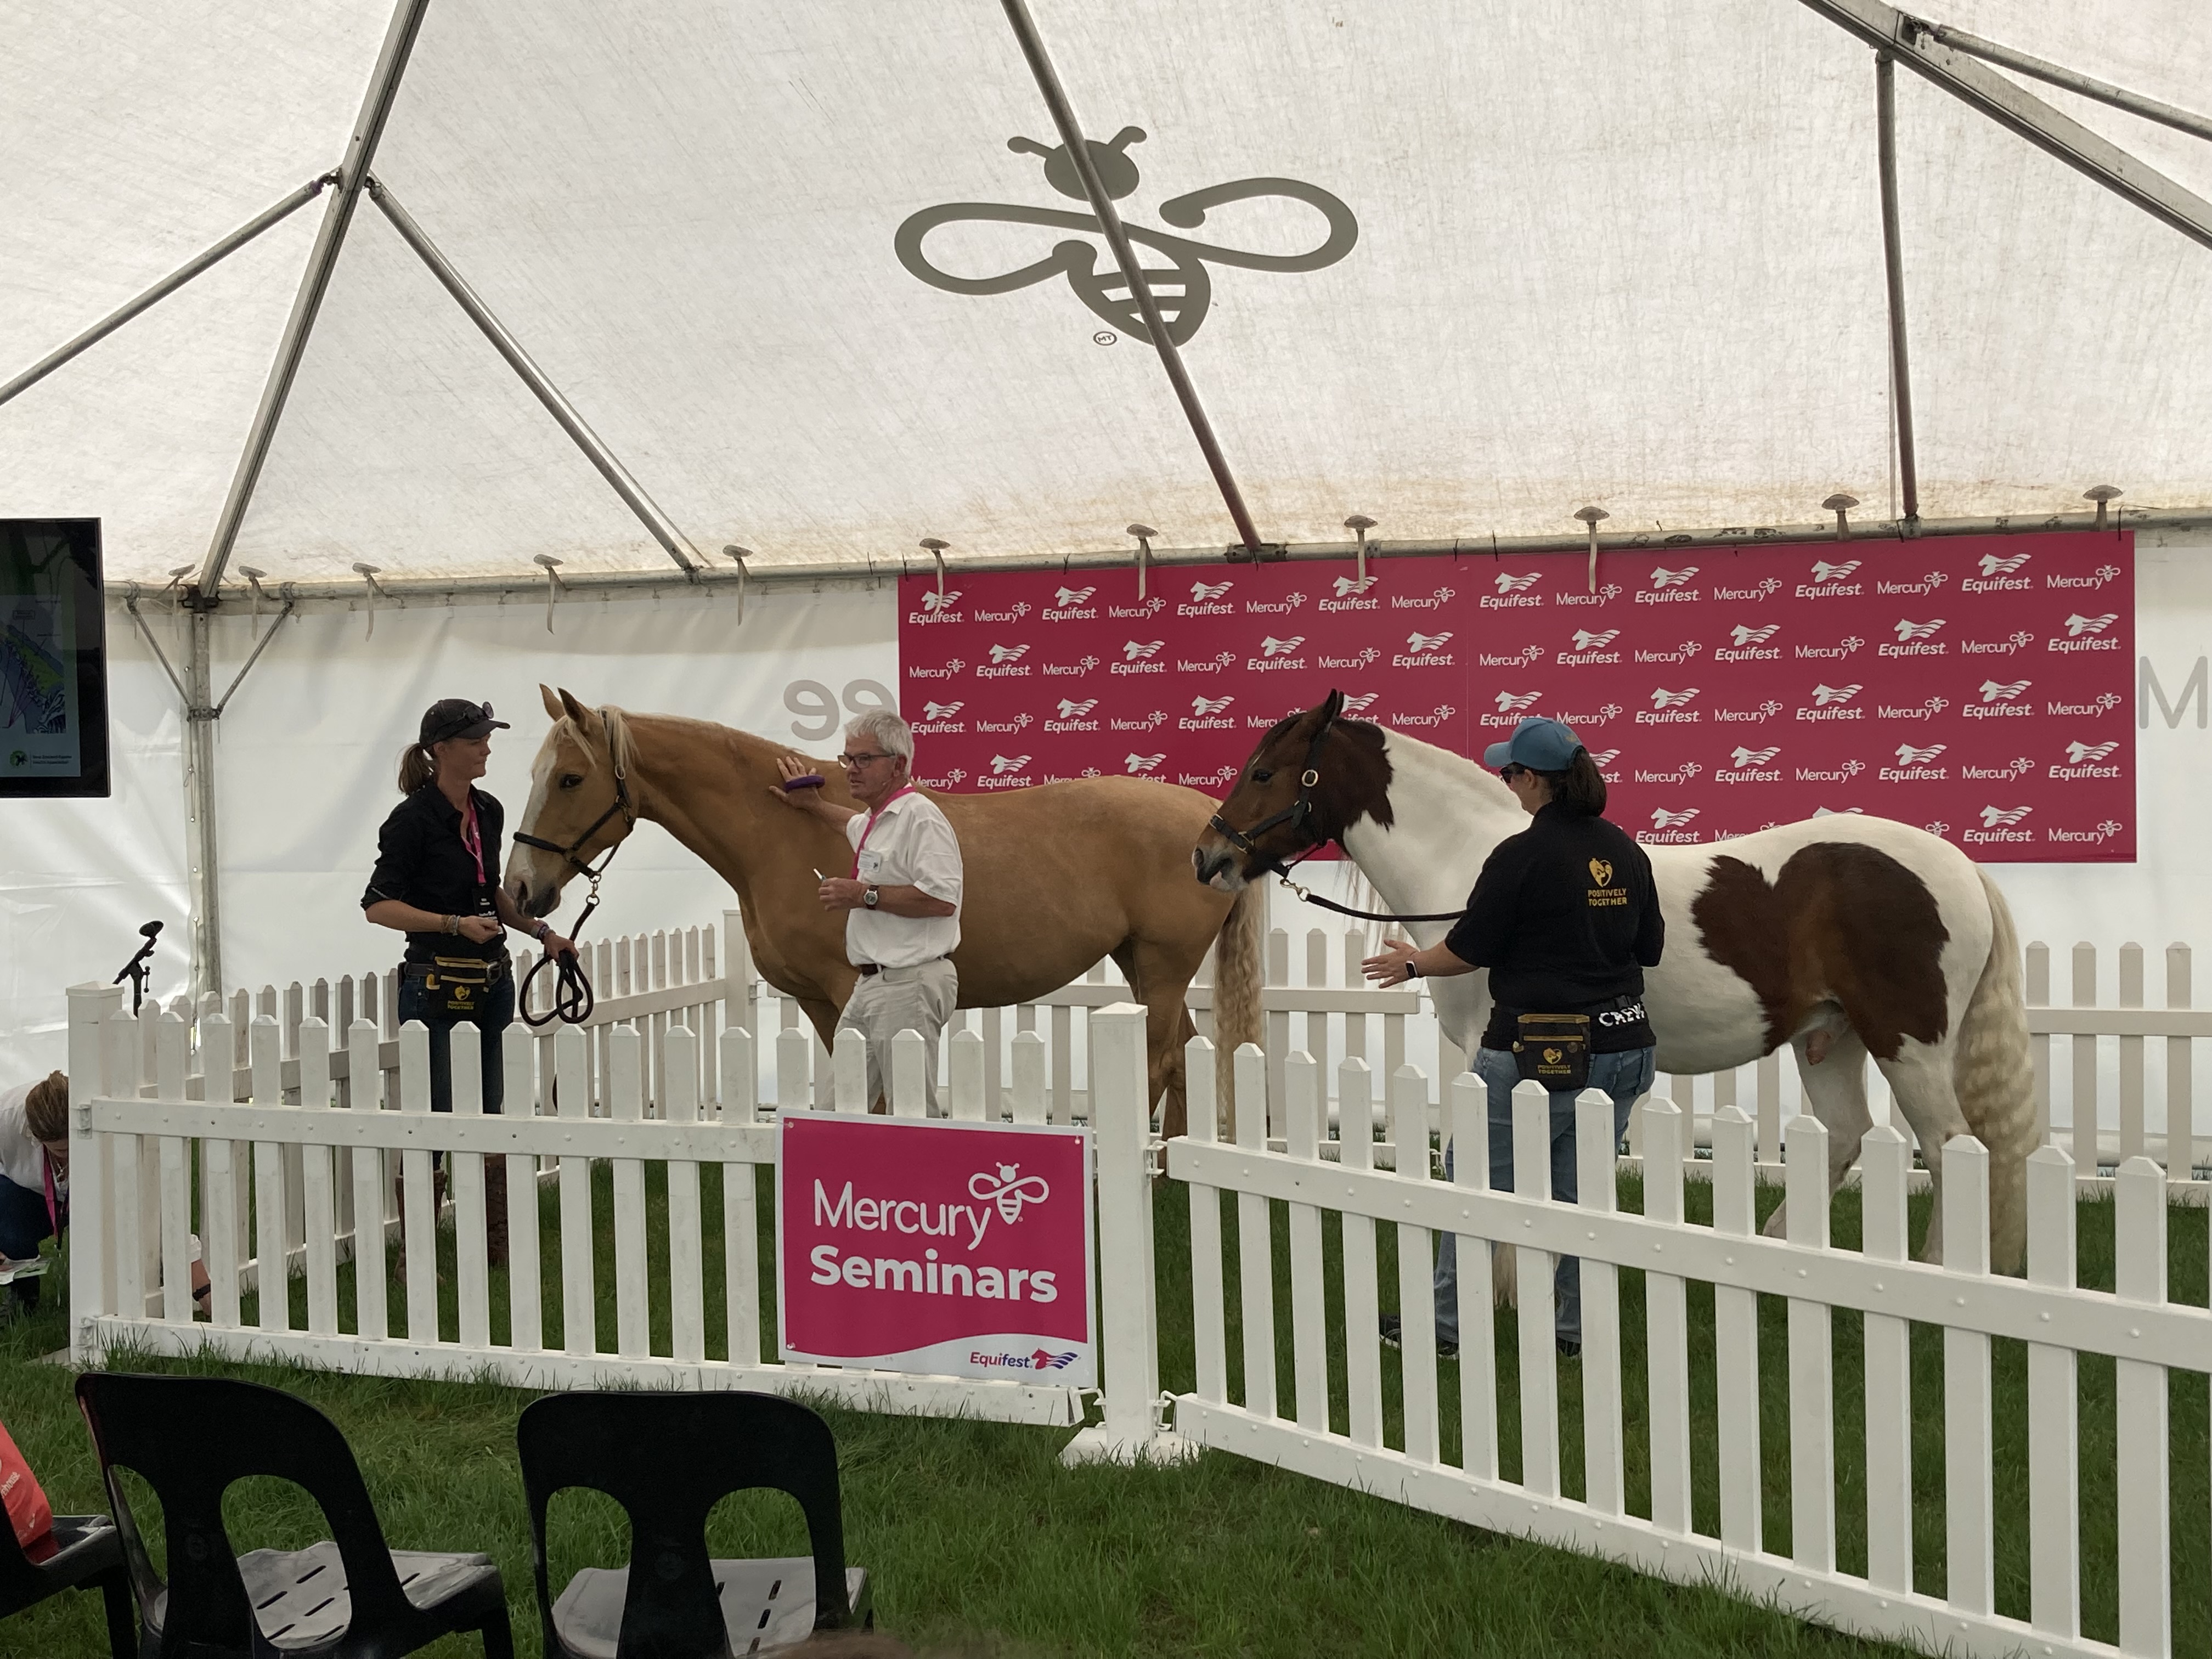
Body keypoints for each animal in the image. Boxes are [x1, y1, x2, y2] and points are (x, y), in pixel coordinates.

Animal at [506, 681, 1265, 1141]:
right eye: (536, 774)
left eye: (570, 778)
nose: (518, 891)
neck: (777, 834)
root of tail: (1211, 824)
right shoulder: (819, 1003)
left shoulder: (851, 988)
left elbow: (877, 1100)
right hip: (1140, 961)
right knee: (1185, 1057)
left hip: (1163, 967)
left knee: (1159, 1062)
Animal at [1203, 690, 2026, 1274]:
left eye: (1264, 772)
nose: (1208, 856)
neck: (1469, 855)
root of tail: (1961, 867)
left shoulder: (1487, 1049)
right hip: (1830, 1037)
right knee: (1846, 1140)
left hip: (1907, 1045)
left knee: (1951, 1150)